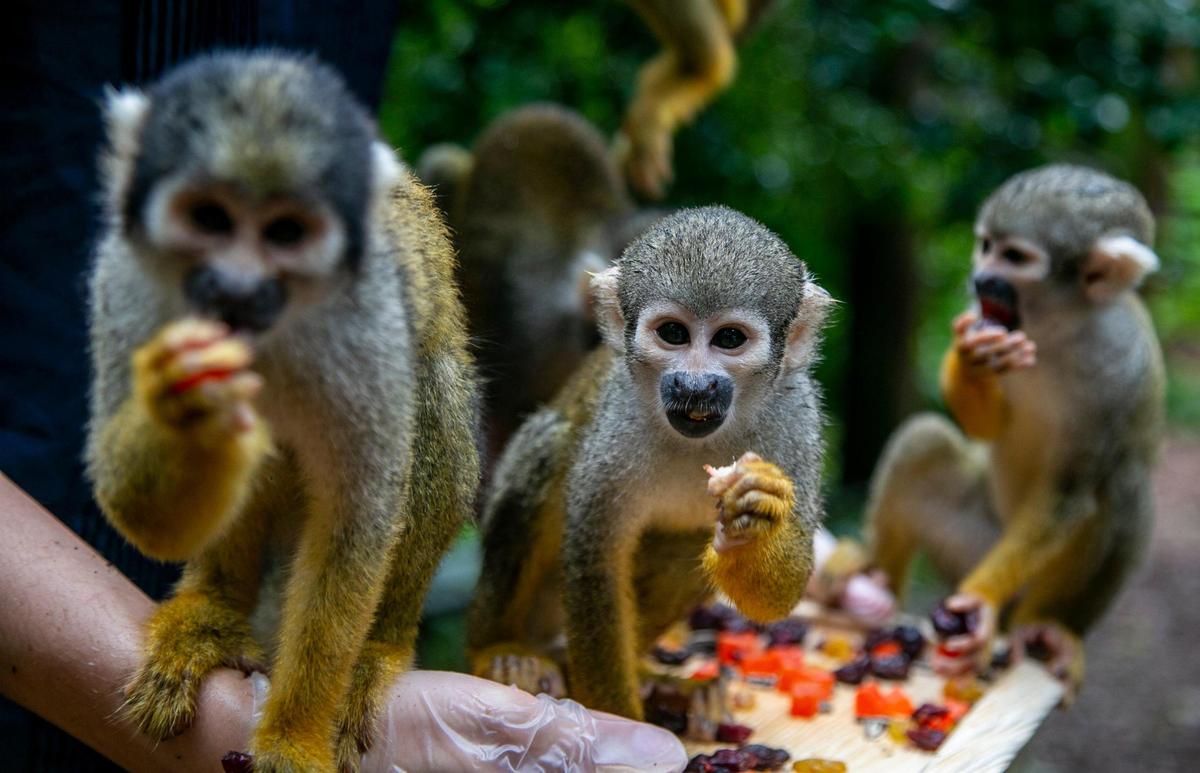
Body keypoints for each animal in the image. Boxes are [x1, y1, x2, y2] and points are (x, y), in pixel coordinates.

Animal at [86, 52, 479, 771]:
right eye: (209, 218)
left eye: (287, 233)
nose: (238, 288)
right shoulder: (123, 275)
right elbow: (131, 503)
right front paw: (187, 405)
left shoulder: (365, 313)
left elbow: (357, 517)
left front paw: (293, 735)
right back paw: (212, 610)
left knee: (430, 384)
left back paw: (377, 649)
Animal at [466, 205, 833, 720]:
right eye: (673, 334)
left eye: (730, 339)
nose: (696, 386)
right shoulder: (616, 420)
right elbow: (596, 566)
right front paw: (617, 721)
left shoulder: (796, 418)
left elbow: (783, 591)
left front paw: (753, 514)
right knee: (545, 453)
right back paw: (498, 648)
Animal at [862, 164, 1164, 699]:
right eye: (985, 245)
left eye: (1015, 257)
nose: (980, 277)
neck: (1057, 332)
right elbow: (988, 426)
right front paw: (973, 359)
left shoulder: (1120, 376)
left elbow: (1070, 490)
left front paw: (979, 602)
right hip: (968, 542)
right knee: (925, 440)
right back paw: (871, 592)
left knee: (1121, 488)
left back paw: (1044, 626)